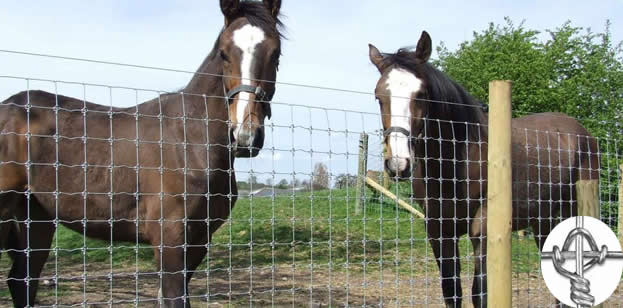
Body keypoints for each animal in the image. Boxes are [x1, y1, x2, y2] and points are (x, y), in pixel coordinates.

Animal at [0, 1, 282, 306]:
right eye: (224, 53)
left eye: (276, 53)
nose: (245, 136)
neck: (190, 141)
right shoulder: (170, 240)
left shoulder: (198, 241)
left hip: (36, 217)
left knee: (22, 280)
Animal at [368, 31, 604, 308]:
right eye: (379, 96)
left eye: (422, 93)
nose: (399, 164)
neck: (454, 164)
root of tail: (584, 134)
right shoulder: (439, 231)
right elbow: (452, 290)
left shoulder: (483, 229)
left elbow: (479, 291)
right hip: (542, 219)